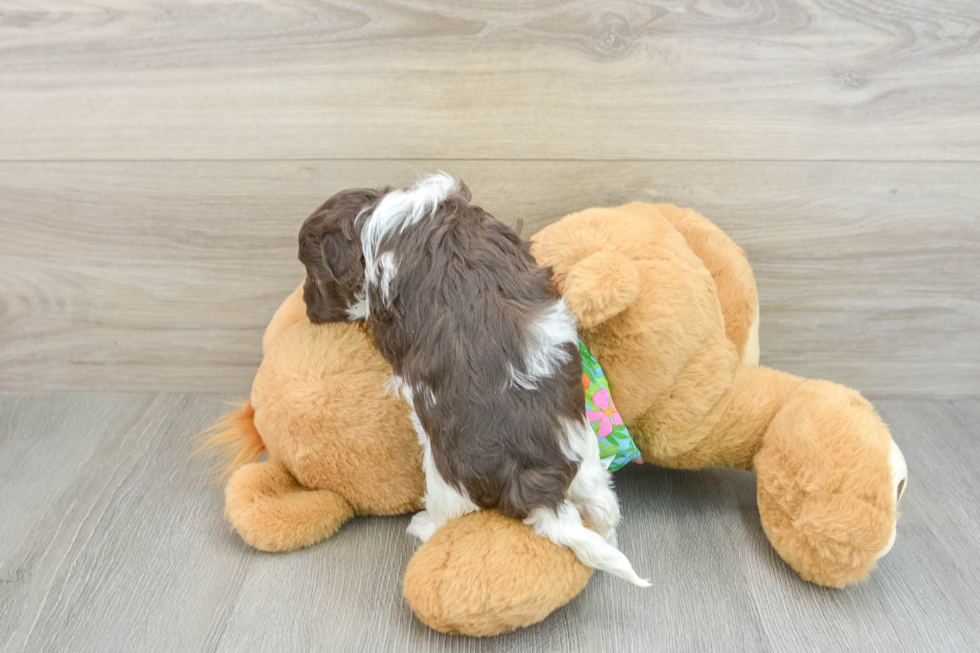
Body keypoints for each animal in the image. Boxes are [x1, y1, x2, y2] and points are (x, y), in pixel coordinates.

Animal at [298, 173, 652, 584]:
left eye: (313, 274)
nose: (306, 308)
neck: (374, 213)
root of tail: (539, 486)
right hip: (587, 460)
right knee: (605, 508)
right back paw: (606, 533)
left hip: (443, 473)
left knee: (449, 513)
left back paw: (422, 525)